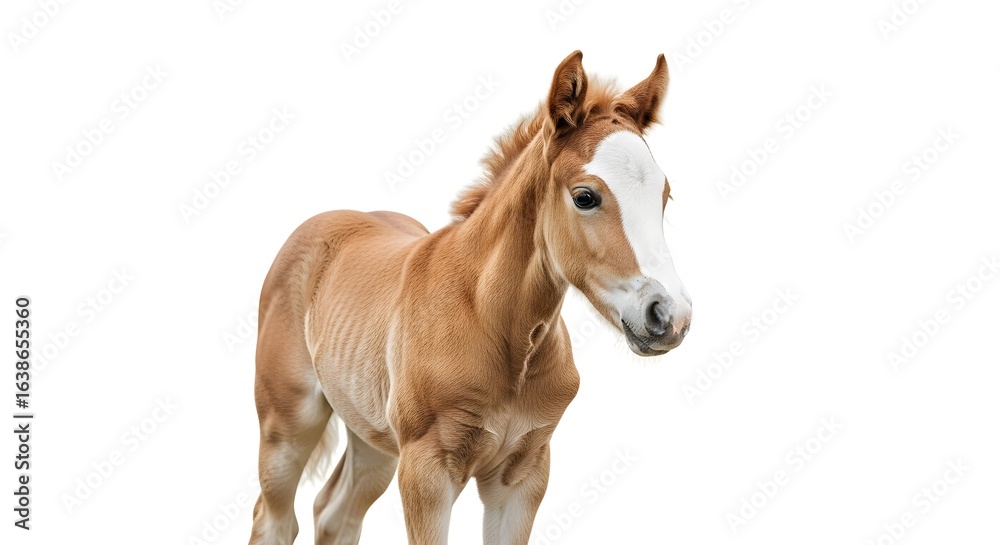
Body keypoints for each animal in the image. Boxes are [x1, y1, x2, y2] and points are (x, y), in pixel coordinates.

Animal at [248, 51, 692, 545]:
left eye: (665, 196)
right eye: (585, 197)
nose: (669, 316)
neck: (495, 327)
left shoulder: (523, 473)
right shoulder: (426, 471)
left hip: (372, 436)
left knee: (334, 512)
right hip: (288, 424)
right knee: (274, 519)